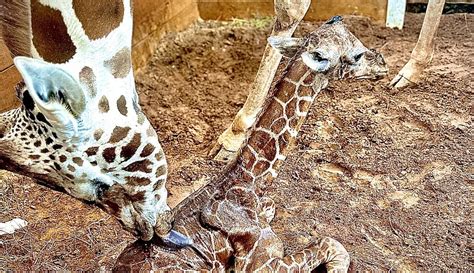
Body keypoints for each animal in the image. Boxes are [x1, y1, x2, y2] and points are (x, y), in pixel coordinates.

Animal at [115, 16, 388, 270]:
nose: (383, 63)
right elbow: (332, 242)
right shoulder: (261, 264)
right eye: (357, 55)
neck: (251, 183)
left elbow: (275, 207)